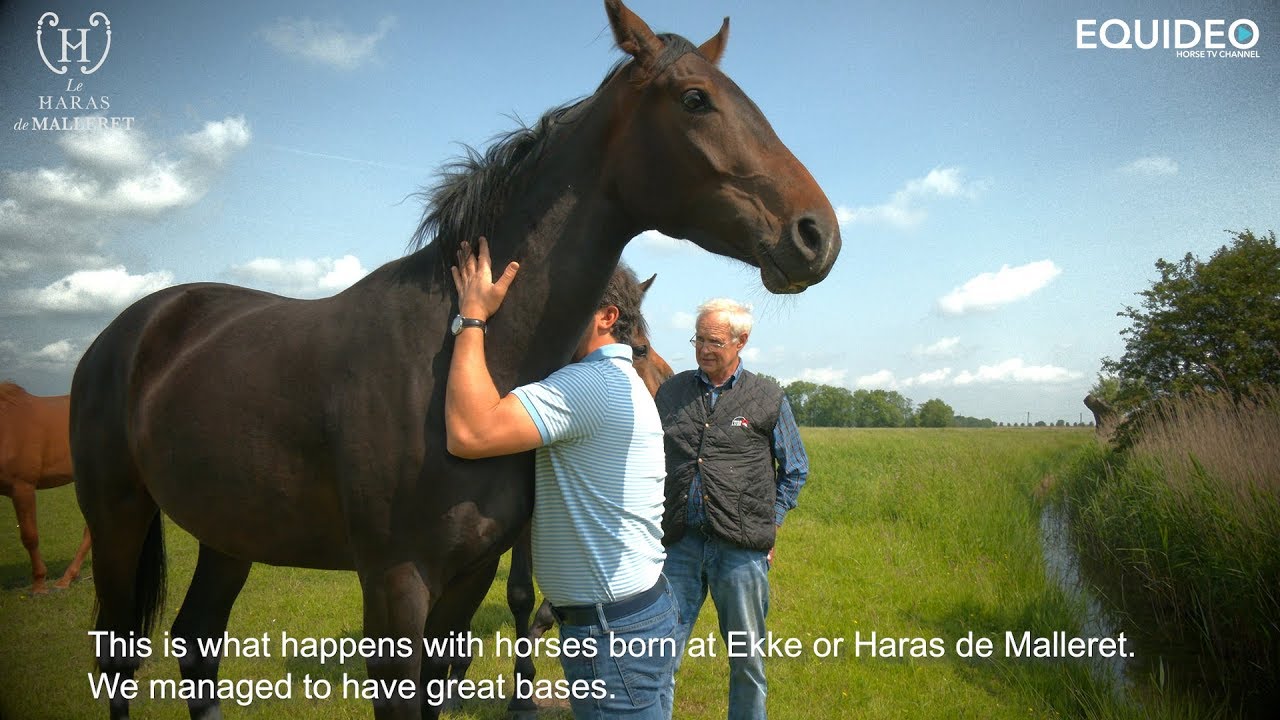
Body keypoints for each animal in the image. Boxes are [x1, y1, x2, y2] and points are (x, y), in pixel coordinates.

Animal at [70, 2, 840, 718]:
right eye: (695, 99)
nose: (818, 234)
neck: (455, 366)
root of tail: (131, 328)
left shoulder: (470, 574)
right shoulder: (396, 585)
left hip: (229, 530)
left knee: (197, 640)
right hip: (116, 517)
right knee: (117, 651)